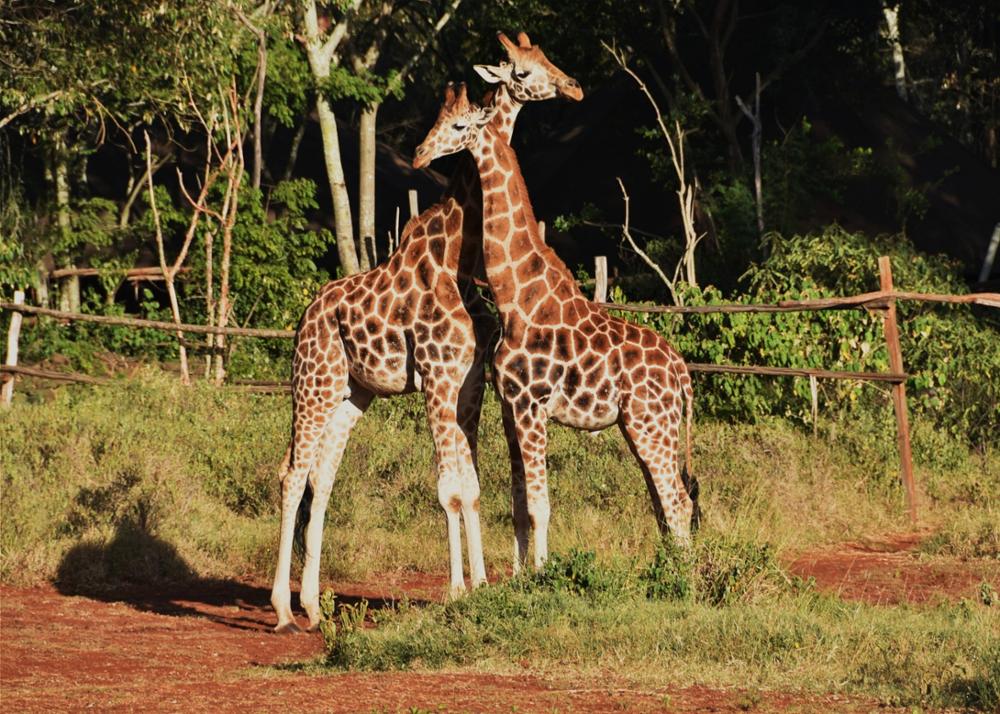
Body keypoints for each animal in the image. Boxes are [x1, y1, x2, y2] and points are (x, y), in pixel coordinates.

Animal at [270, 32, 584, 628]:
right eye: (526, 70)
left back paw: (313, 605)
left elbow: (473, 488)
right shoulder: (438, 379)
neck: (457, 253)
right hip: (313, 383)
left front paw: (482, 585)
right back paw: (280, 609)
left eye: (549, 60)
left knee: (322, 477)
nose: (575, 86)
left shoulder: (469, 383)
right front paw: (460, 591)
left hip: (354, 392)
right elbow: (450, 491)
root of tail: (304, 318)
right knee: (291, 473)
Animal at [412, 85, 696, 572]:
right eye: (436, 118)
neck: (518, 300)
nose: (419, 153)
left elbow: (540, 504)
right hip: (641, 426)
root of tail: (681, 372)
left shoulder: (532, 405)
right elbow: (519, 501)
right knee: (664, 502)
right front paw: (520, 574)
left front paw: (544, 574)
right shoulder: (510, 407)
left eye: (458, 125)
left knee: (677, 500)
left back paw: (682, 578)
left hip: (651, 424)